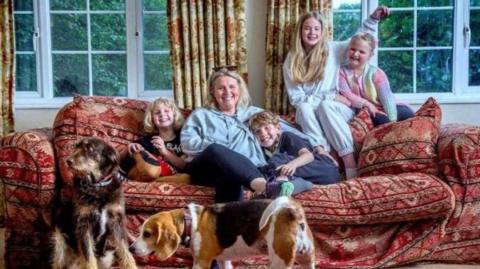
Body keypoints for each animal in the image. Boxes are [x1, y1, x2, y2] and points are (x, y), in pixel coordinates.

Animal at [50, 137, 137, 268]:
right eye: (75, 147)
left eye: (89, 148)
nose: (68, 161)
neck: (97, 186)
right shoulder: (83, 225)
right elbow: (88, 257)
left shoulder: (117, 221)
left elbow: (125, 251)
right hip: (59, 241)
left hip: (107, 256)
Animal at [129, 195, 316, 268]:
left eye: (147, 234)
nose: (130, 249)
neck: (191, 222)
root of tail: (291, 210)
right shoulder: (224, 261)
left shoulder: (201, 262)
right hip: (307, 259)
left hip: (280, 261)